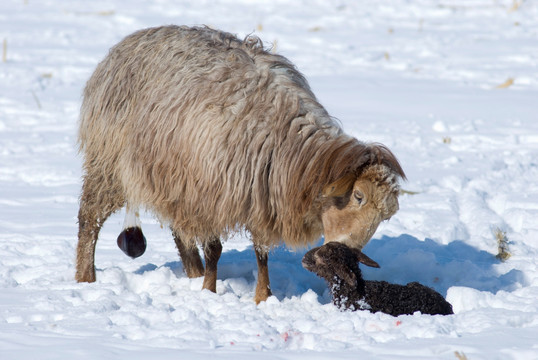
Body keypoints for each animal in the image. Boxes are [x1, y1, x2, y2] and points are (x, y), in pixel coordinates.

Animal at [74, 24, 402, 304]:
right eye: (358, 196)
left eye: (386, 216)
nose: (349, 254)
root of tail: (129, 40)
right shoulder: (210, 191)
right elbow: (215, 249)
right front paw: (209, 291)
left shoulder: (259, 194)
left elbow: (261, 252)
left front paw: (262, 297)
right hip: (110, 162)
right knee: (90, 217)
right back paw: (85, 278)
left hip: (172, 176)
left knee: (180, 231)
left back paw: (192, 273)